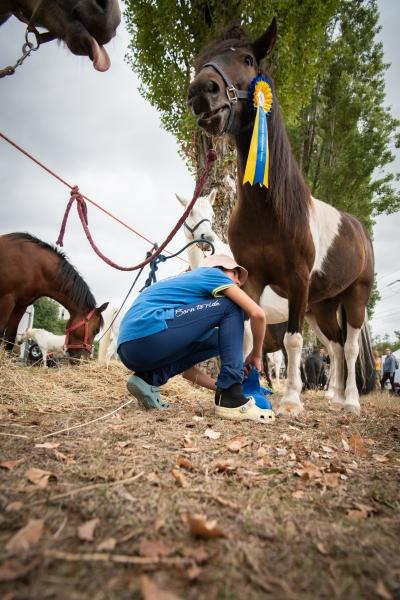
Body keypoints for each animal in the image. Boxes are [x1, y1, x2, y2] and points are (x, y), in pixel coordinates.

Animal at [188, 17, 376, 412]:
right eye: (202, 59)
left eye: (246, 59)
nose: (200, 91)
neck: (271, 213)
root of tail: (358, 229)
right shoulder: (252, 277)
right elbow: (249, 333)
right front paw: (247, 393)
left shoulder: (298, 282)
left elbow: (291, 342)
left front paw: (291, 400)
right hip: (323, 307)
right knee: (336, 347)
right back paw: (335, 396)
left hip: (355, 297)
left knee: (350, 347)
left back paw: (351, 402)